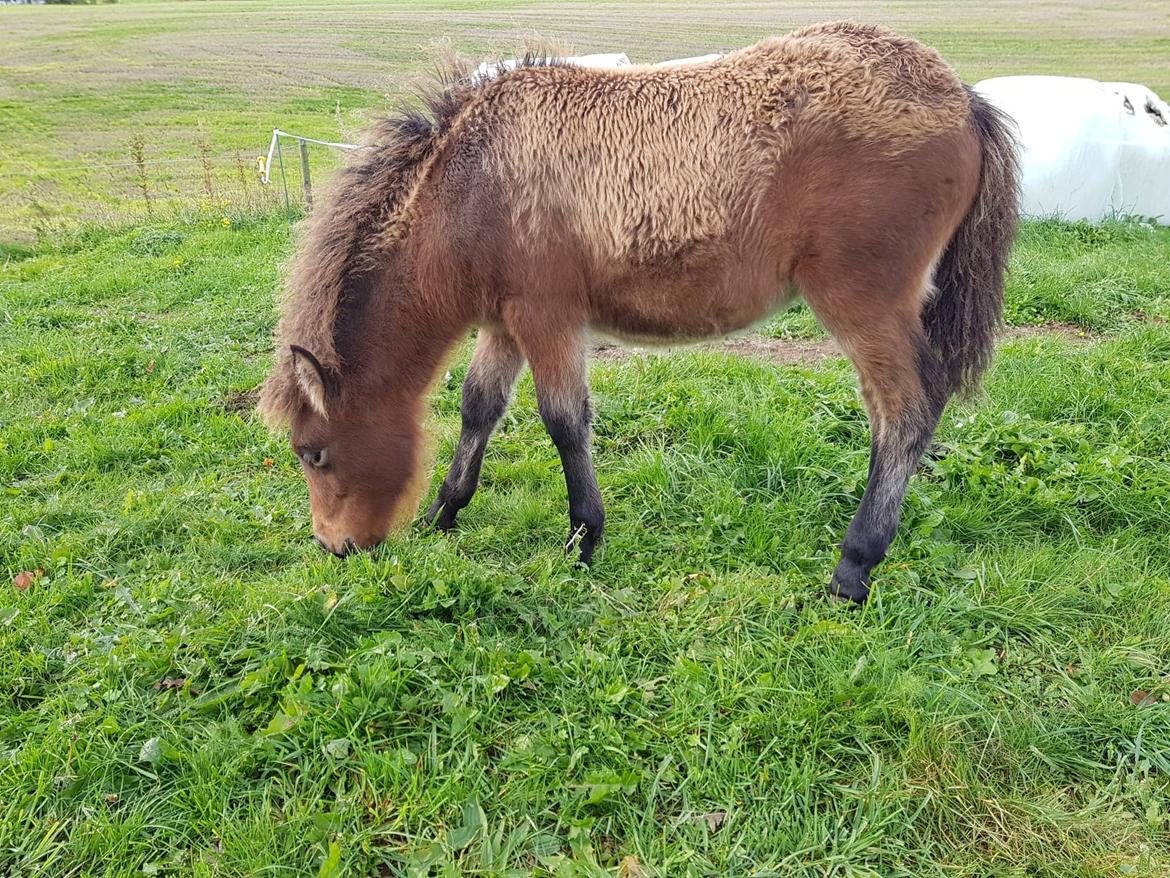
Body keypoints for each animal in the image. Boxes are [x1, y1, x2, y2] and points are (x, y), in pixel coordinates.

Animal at [256, 20, 1015, 604]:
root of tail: (961, 97)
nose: (335, 547)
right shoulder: (504, 323)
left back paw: (853, 567)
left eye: (313, 453)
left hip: (861, 301)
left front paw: (583, 539)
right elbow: (479, 408)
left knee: (904, 412)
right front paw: (446, 510)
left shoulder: (548, 317)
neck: (471, 182)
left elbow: (564, 421)